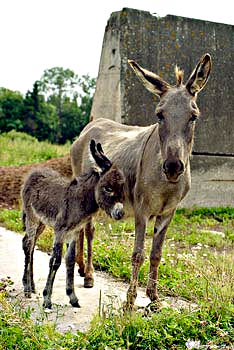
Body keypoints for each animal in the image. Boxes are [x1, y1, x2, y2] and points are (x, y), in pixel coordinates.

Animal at [21, 139, 125, 308]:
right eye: (108, 188)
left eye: (122, 188)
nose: (120, 213)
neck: (79, 201)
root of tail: (34, 172)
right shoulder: (60, 232)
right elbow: (55, 261)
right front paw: (47, 298)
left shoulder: (73, 233)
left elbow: (69, 261)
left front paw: (72, 297)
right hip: (32, 218)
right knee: (29, 246)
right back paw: (27, 289)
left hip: (42, 223)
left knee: (28, 243)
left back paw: (31, 285)